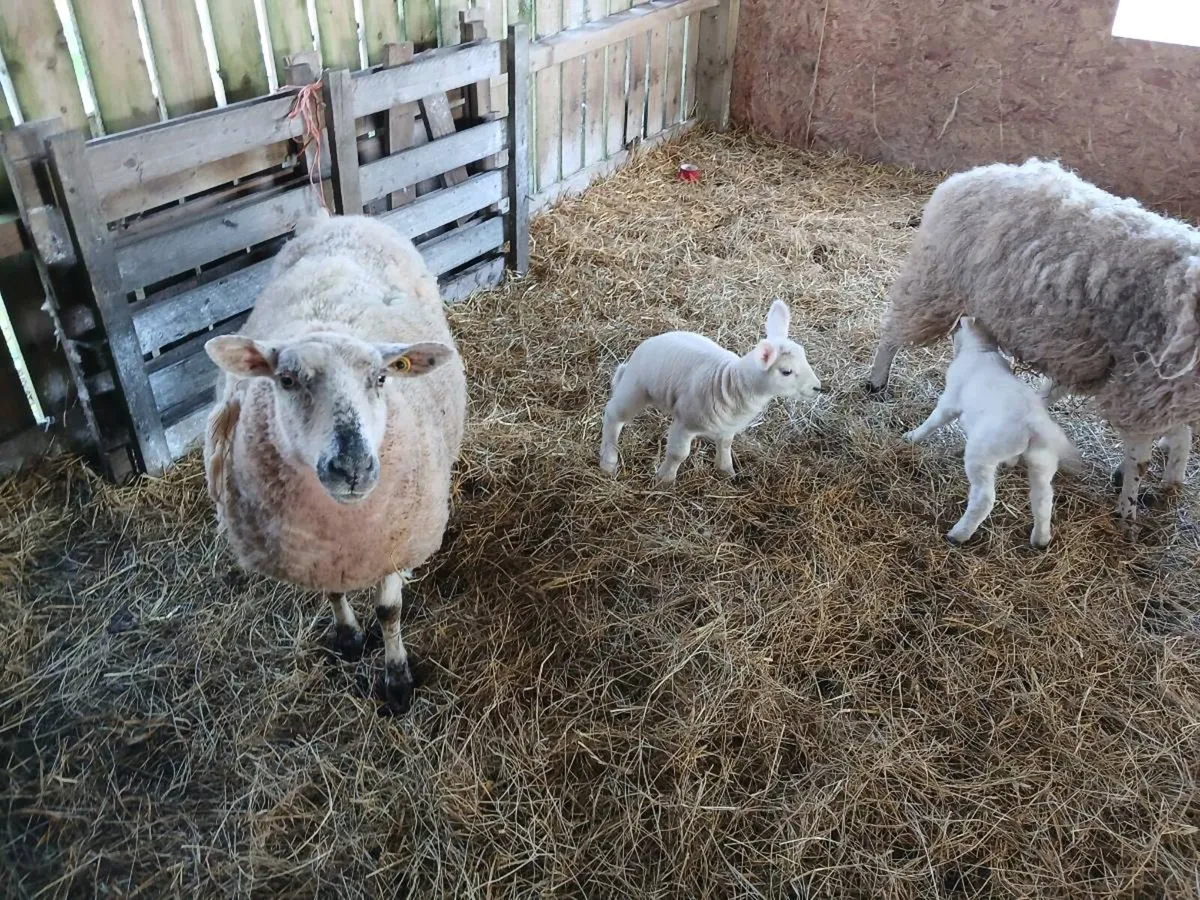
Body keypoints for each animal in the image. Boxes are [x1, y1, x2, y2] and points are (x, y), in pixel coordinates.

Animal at [203, 211, 466, 714]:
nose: (353, 468)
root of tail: (336, 217)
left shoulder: (394, 540)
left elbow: (388, 610)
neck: (343, 530)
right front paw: (348, 639)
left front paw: (397, 680)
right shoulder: (317, 554)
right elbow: (333, 592)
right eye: (285, 380)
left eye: (381, 378)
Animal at [598, 299, 823, 482]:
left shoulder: (727, 426)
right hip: (635, 388)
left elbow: (725, 445)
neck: (732, 381)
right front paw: (665, 480)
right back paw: (608, 461)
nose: (819, 388)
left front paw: (726, 471)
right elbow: (678, 454)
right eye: (787, 371)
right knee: (613, 415)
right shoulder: (685, 422)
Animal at [865, 157, 1200, 522]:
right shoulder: (1144, 390)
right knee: (893, 332)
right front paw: (1127, 507)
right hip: (934, 282)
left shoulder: (1162, 394)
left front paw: (1167, 479)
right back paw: (876, 381)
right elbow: (1141, 457)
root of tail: (966, 177)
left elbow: (1176, 435)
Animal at [905, 316, 1082, 549]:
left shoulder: (950, 399)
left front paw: (911, 437)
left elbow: (934, 421)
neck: (982, 349)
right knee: (1043, 498)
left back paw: (958, 534)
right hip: (1043, 460)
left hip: (983, 453)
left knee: (984, 498)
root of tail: (1033, 423)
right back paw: (1040, 540)